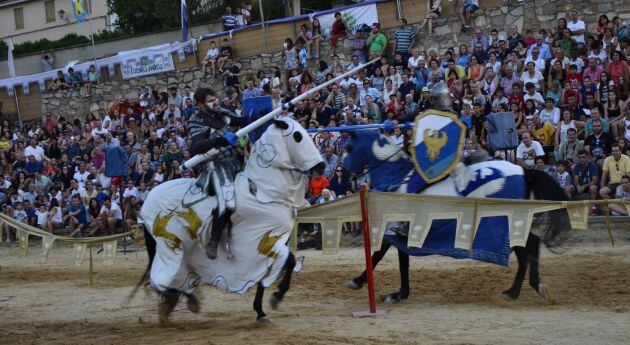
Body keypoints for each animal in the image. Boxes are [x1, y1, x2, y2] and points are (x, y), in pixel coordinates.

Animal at [139, 117, 326, 322]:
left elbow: (274, 272)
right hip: (169, 247)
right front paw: (277, 297)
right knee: (165, 275)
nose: (321, 166)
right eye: (297, 136)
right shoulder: (262, 244)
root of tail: (149, 197)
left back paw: (187, 299)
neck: (264, 192)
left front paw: (261, 311)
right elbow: (289, 261)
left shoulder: (270, 243)